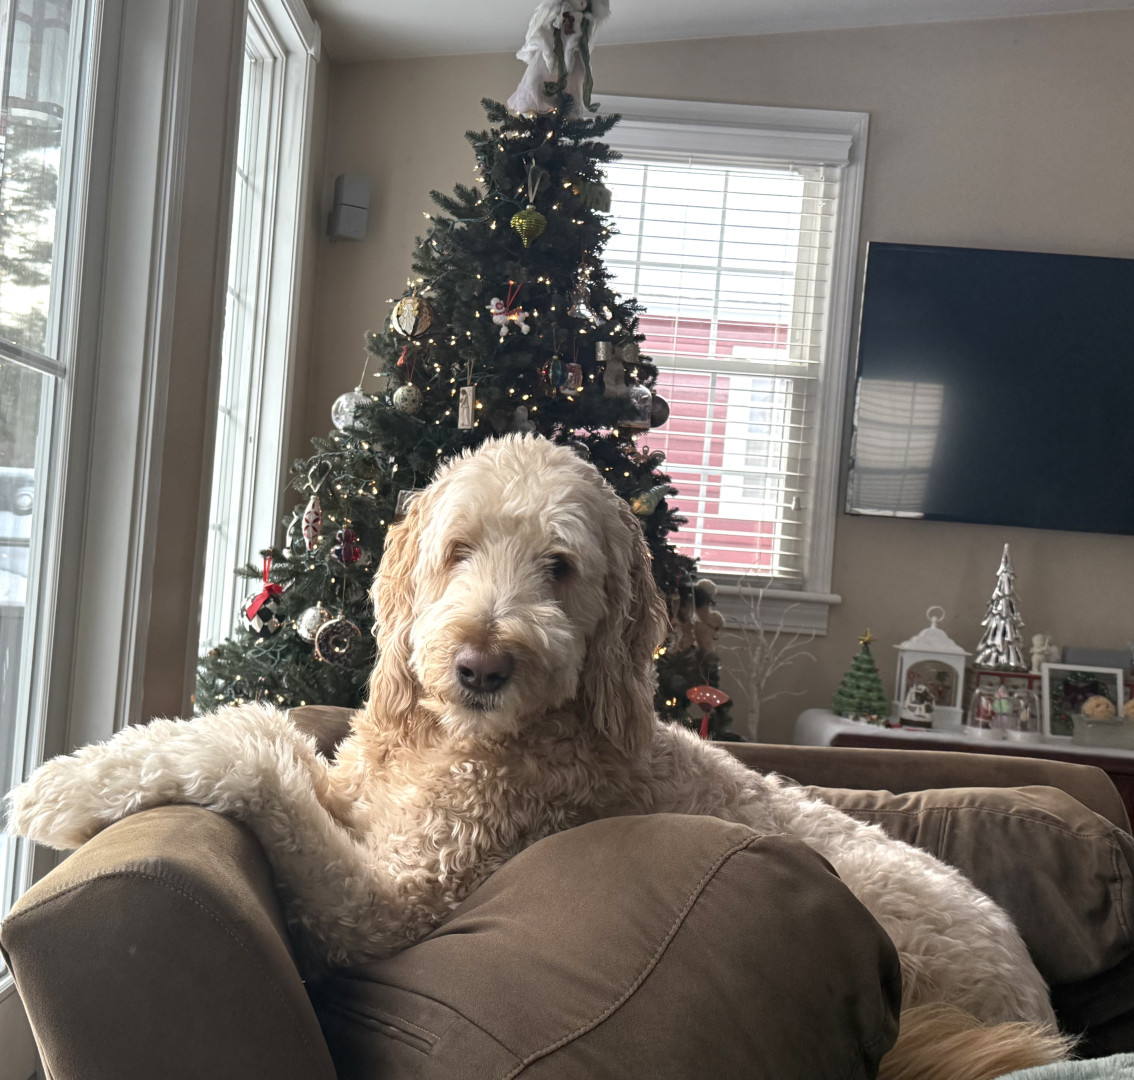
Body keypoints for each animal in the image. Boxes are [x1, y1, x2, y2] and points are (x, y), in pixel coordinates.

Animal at [8, 435, 1071, 1079]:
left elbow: (254, 753)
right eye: (458, 549)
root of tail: (1038, 1010)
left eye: (559, 568)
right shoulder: (356, 803)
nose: (481, 665)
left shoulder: (385, 903)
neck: (466, 742)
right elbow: (262, 729)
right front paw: (105, 762)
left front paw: (61, 788)